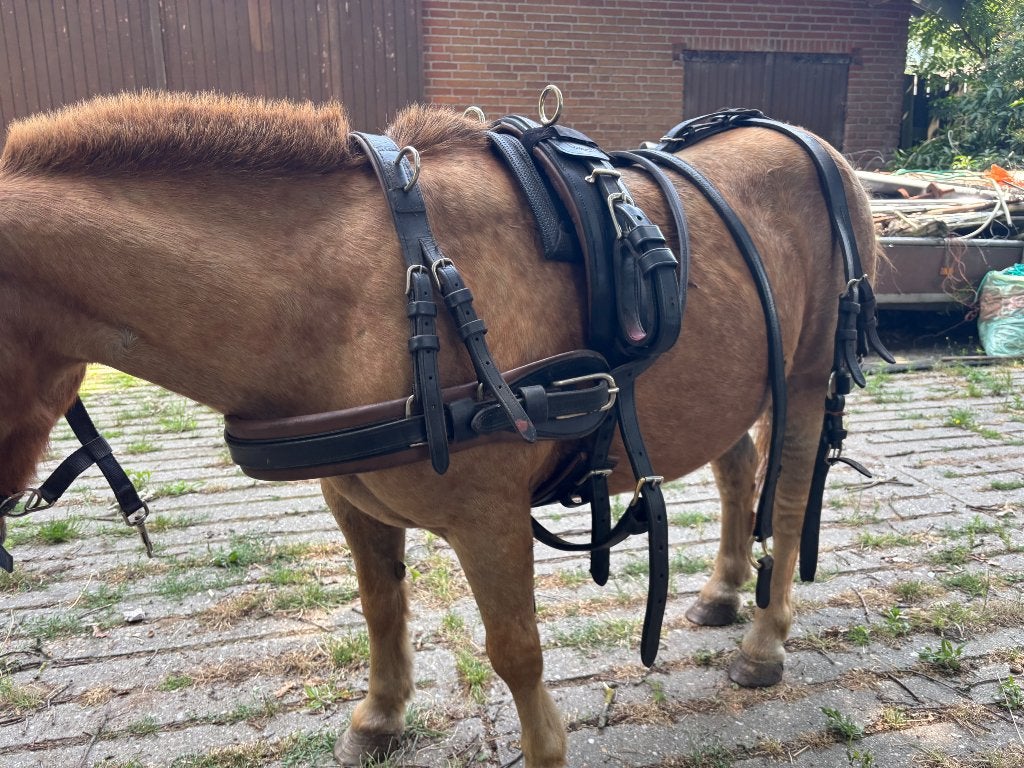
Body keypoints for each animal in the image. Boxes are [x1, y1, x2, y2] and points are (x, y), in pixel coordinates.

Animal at [0, 91, 883, 768]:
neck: (368, 293)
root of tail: (816, 146)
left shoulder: (488, 516)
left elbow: (515, 649)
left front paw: (544, 750)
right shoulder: (350, 500)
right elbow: (381, 610)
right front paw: (380, 719)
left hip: (807, 377)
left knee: (789, 502)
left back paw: (764, 644)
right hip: (723, 381)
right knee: (738, 470)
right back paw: (722, 592)